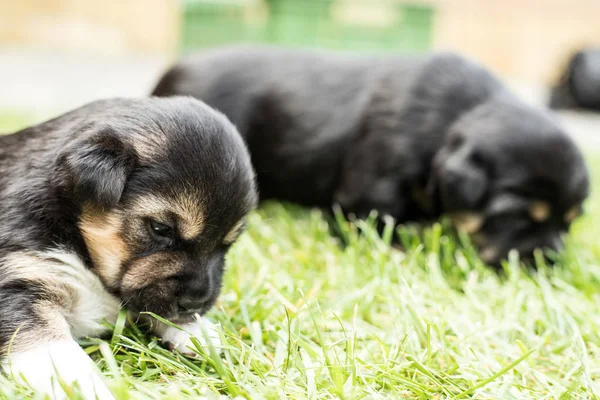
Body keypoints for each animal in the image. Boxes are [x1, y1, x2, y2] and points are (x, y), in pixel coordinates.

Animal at [0, 98, 255, 398]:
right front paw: (82, 384)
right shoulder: (22, 278)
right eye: (161, 228)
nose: (195, 304)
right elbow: (49, 347)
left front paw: (198, 334)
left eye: (228, 243)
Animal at [154, 47, 592, 266]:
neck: (453, 120)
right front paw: (398, 252)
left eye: (571, 223)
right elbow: (376, 219)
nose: (551, 259)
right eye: (517, 216)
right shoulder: (372, 188)